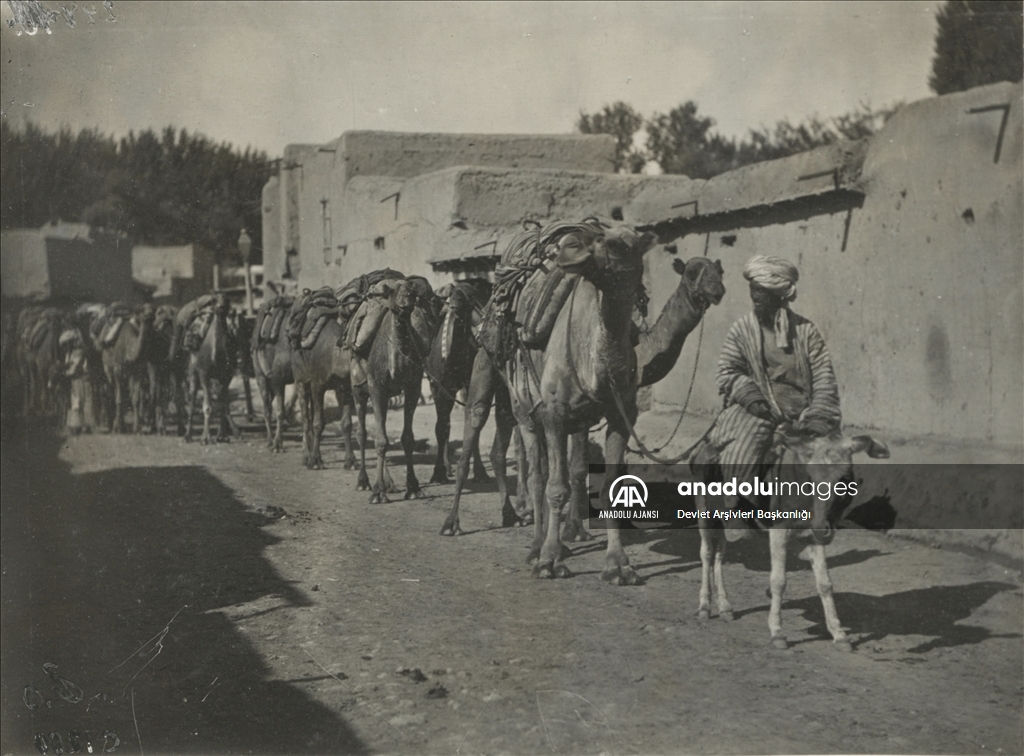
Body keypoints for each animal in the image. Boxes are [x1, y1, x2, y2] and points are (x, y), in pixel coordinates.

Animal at [350, 274, 438, 499]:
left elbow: (407, 438)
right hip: (358, 390)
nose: (407, 298)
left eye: (412, 291)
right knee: (362, 433)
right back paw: (363, 482)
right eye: (392, 292)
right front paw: (377, 493)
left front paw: (413, 487)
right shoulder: (376, 387)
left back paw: (389, 484)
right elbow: (380, 441)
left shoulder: (413, 387)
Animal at [696, 426, 888, 643]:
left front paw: (838, 634)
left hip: (722, 519)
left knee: (719, 554)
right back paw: (704, 607)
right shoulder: (779, 532)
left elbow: (825, 583)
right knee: (707, 554)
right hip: (704, 513)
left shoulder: (813, 536)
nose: (823, 529)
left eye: (845, 478)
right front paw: (777, 632)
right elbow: (778, 581)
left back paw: (725, 607)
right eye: (811, 479)